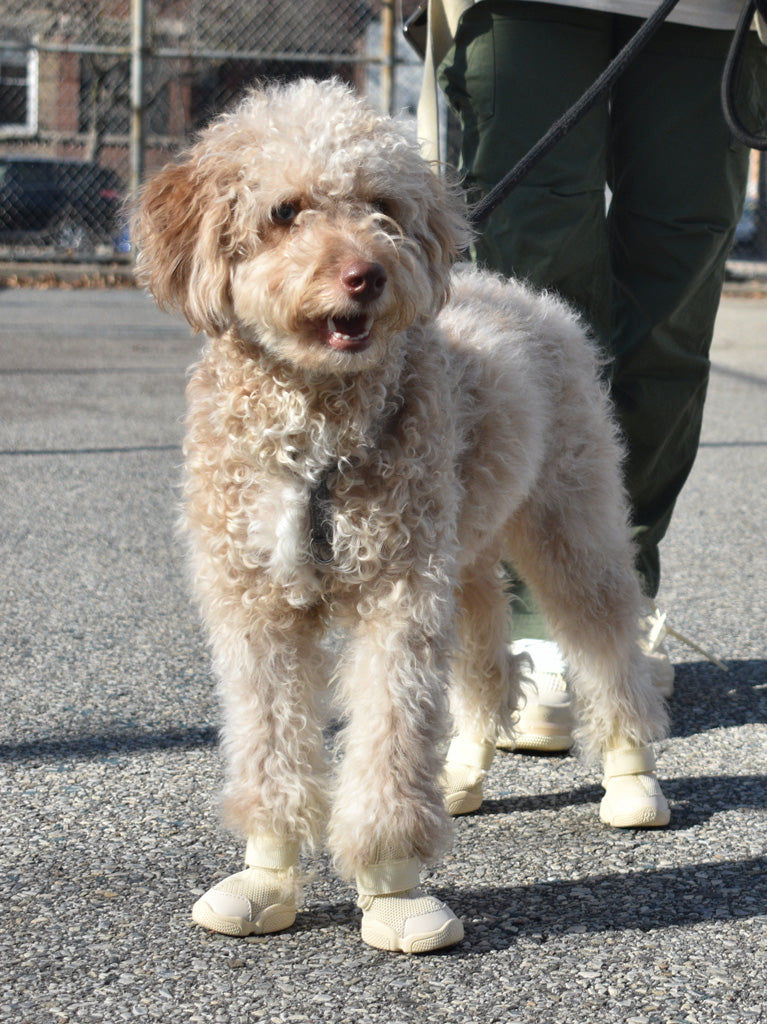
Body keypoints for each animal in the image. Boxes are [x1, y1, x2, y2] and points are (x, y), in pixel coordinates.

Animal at [133, 77, 671, 950]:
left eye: (381, 205)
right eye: (284, 210)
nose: (365, 274)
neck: (315, 425)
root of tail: (524, 293)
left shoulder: (397, 597)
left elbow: (388, 740)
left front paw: (392, 887)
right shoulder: (256, 606)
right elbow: (270, 744)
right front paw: (266, 873)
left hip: (568, 522)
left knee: (604, 644)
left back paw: (630, 778)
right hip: (466, 555)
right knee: (488, 668)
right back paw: (460, 775)